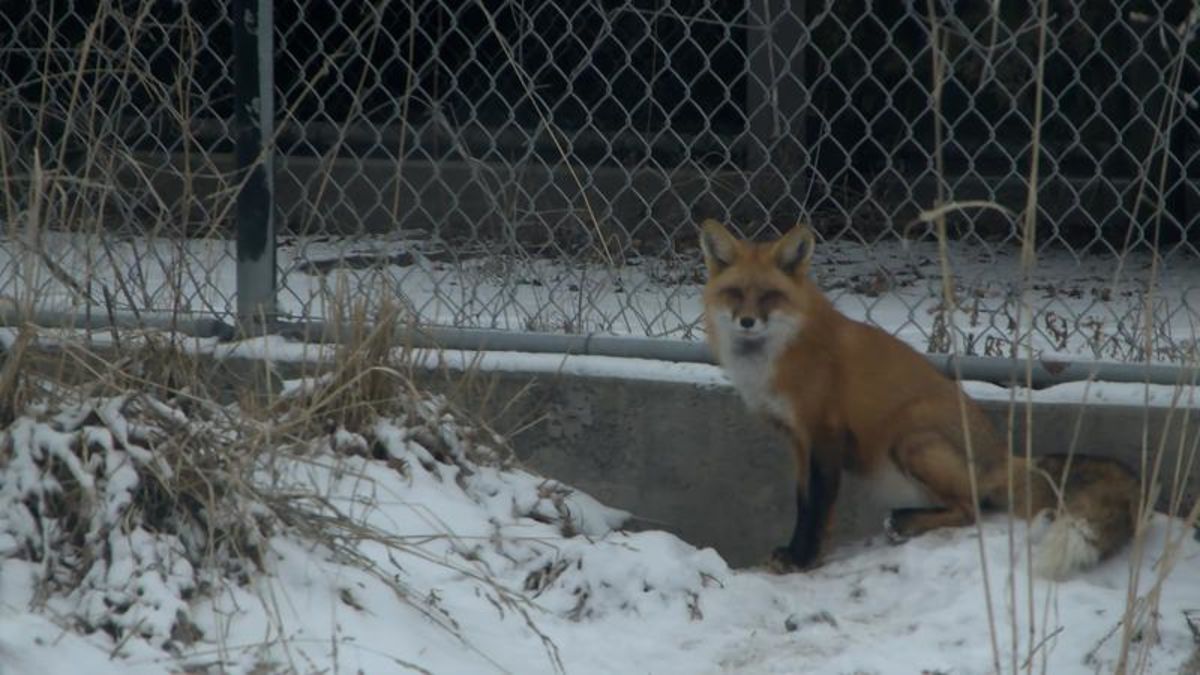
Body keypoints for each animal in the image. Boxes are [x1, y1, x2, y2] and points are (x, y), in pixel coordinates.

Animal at [698, 218, 1141, 579]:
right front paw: (798, 554)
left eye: (769, 296)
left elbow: (819, 506)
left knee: (972, 509)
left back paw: (906, 521)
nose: (747, 322)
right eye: (734, 293)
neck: (780, 354)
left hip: (912, 439)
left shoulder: (825, 434)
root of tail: (1002, 455)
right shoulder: (797, 441)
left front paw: (803, 560)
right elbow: (806, 504)